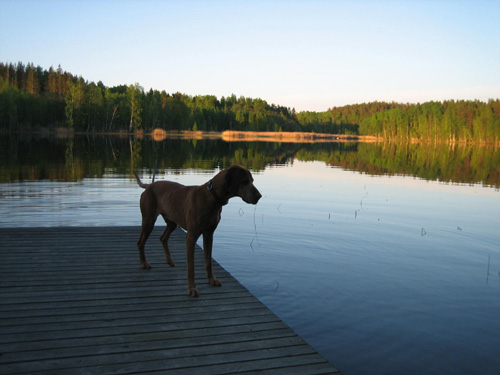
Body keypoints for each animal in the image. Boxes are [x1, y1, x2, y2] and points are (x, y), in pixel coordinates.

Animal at [135, 164, 264, 296]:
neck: (212, 197)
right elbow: (191, 266)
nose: (259, 196)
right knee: (140, 242)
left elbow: (208, 261)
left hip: (172, 222)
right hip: (148, 221)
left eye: (252, 180)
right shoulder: (191, 236)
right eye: (245, 181)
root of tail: (149, 186)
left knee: (163, 238)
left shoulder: (209, 234)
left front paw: (212, 280)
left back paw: (169, 261)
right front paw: (192, 288)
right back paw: (143, 263)